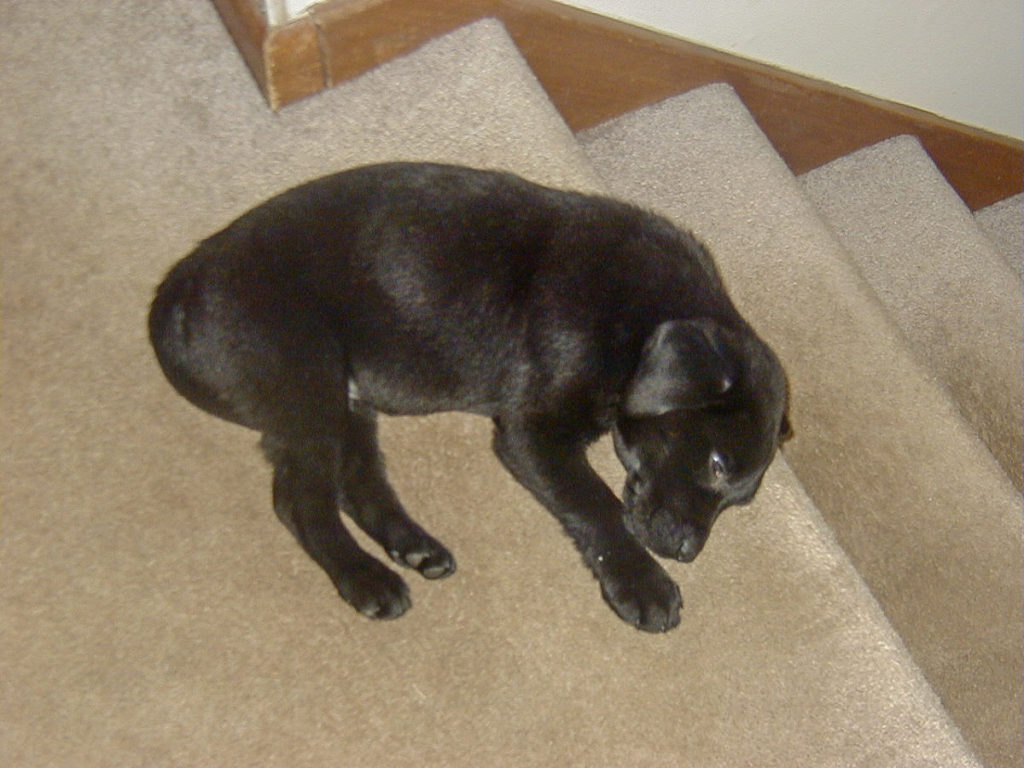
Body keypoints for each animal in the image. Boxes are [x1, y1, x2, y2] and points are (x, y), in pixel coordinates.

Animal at [148, 160, 786, 630]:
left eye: (743, 500)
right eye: (717, 463)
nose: (686, 552)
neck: (637, 320)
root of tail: (175, 291)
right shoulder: (531, 432)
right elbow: (597, 502)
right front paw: (642, 584)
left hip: (346, 400)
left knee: (358, 481)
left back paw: (414, 547)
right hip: (308, 383)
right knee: (300, 500)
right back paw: (366, 579)